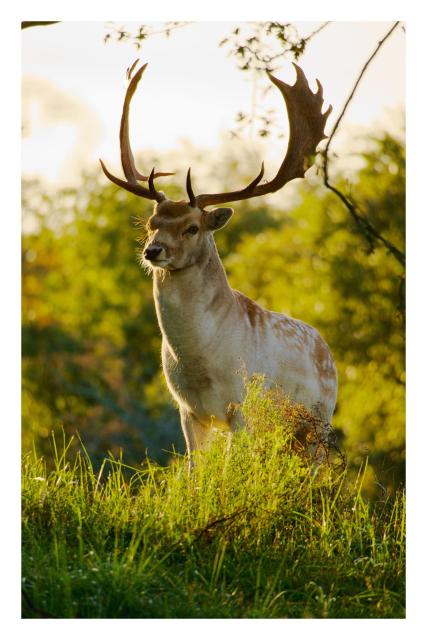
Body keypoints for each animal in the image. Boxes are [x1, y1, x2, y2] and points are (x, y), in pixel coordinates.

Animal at [100, 60, 338, 460]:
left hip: (319, 420)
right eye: (151, 224)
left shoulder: (240, 405)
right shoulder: (188, 410)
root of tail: (329, 350)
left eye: (192, 227)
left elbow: (228, 472)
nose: (153, 251)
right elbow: (195, 470)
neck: (199, 365)